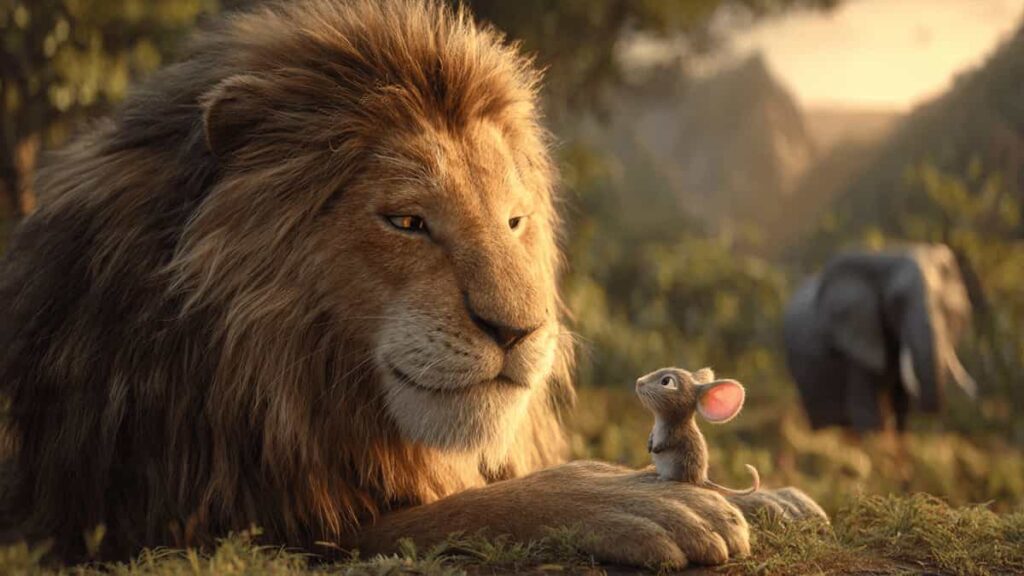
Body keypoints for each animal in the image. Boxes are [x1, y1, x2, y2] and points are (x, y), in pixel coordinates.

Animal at [0, 0, 824, 567]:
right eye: (406, 222)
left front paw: (765, 496)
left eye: (514, 221)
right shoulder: (192, 521)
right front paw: (633, 501)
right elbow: (467, 507)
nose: (518, 332)